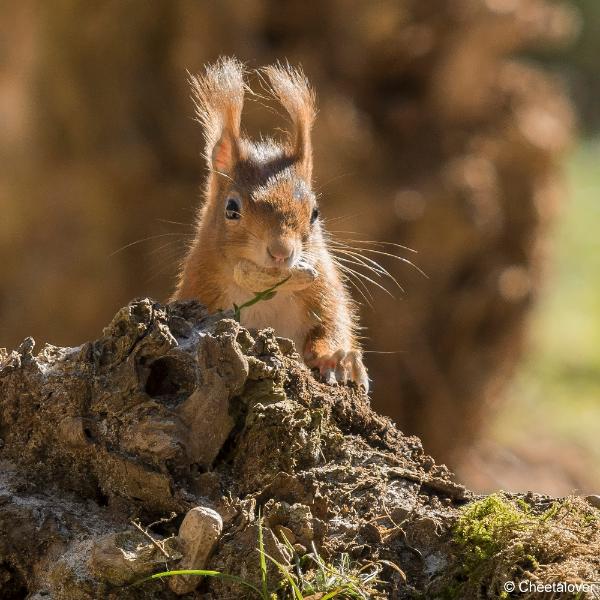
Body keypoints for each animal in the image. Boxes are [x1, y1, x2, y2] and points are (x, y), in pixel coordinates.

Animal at [173, 57, 368, 394]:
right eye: (231, 209)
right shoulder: (199, 287)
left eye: (315, 212)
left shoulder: (324, 287)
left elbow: (333, 324)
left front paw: (337, 359)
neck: (267, 288)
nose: (280, 252)